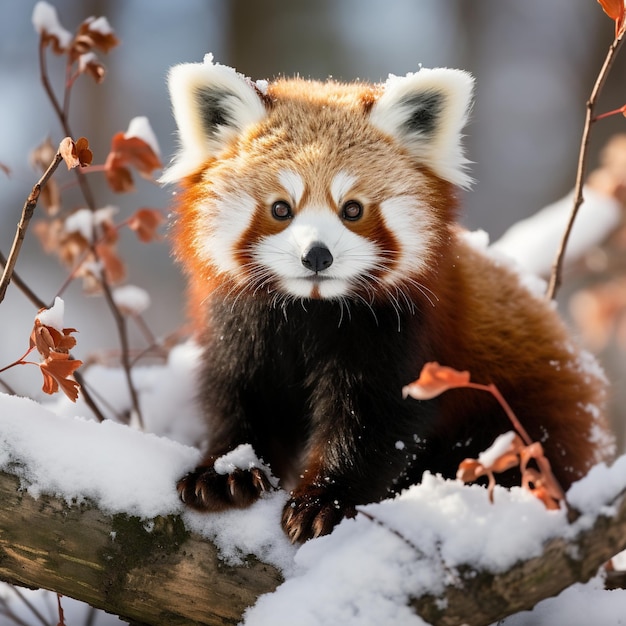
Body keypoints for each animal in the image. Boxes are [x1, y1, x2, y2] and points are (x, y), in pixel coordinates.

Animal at [163, 54, 612, 540]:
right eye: (281, 208)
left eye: (352, 209)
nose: (317, 256)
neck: (311, 310)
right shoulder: (241, 326)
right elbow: (240, 395)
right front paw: (226, 472)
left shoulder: (399, 333)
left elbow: (374, 426)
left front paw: (323, 501)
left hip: (527, 413)